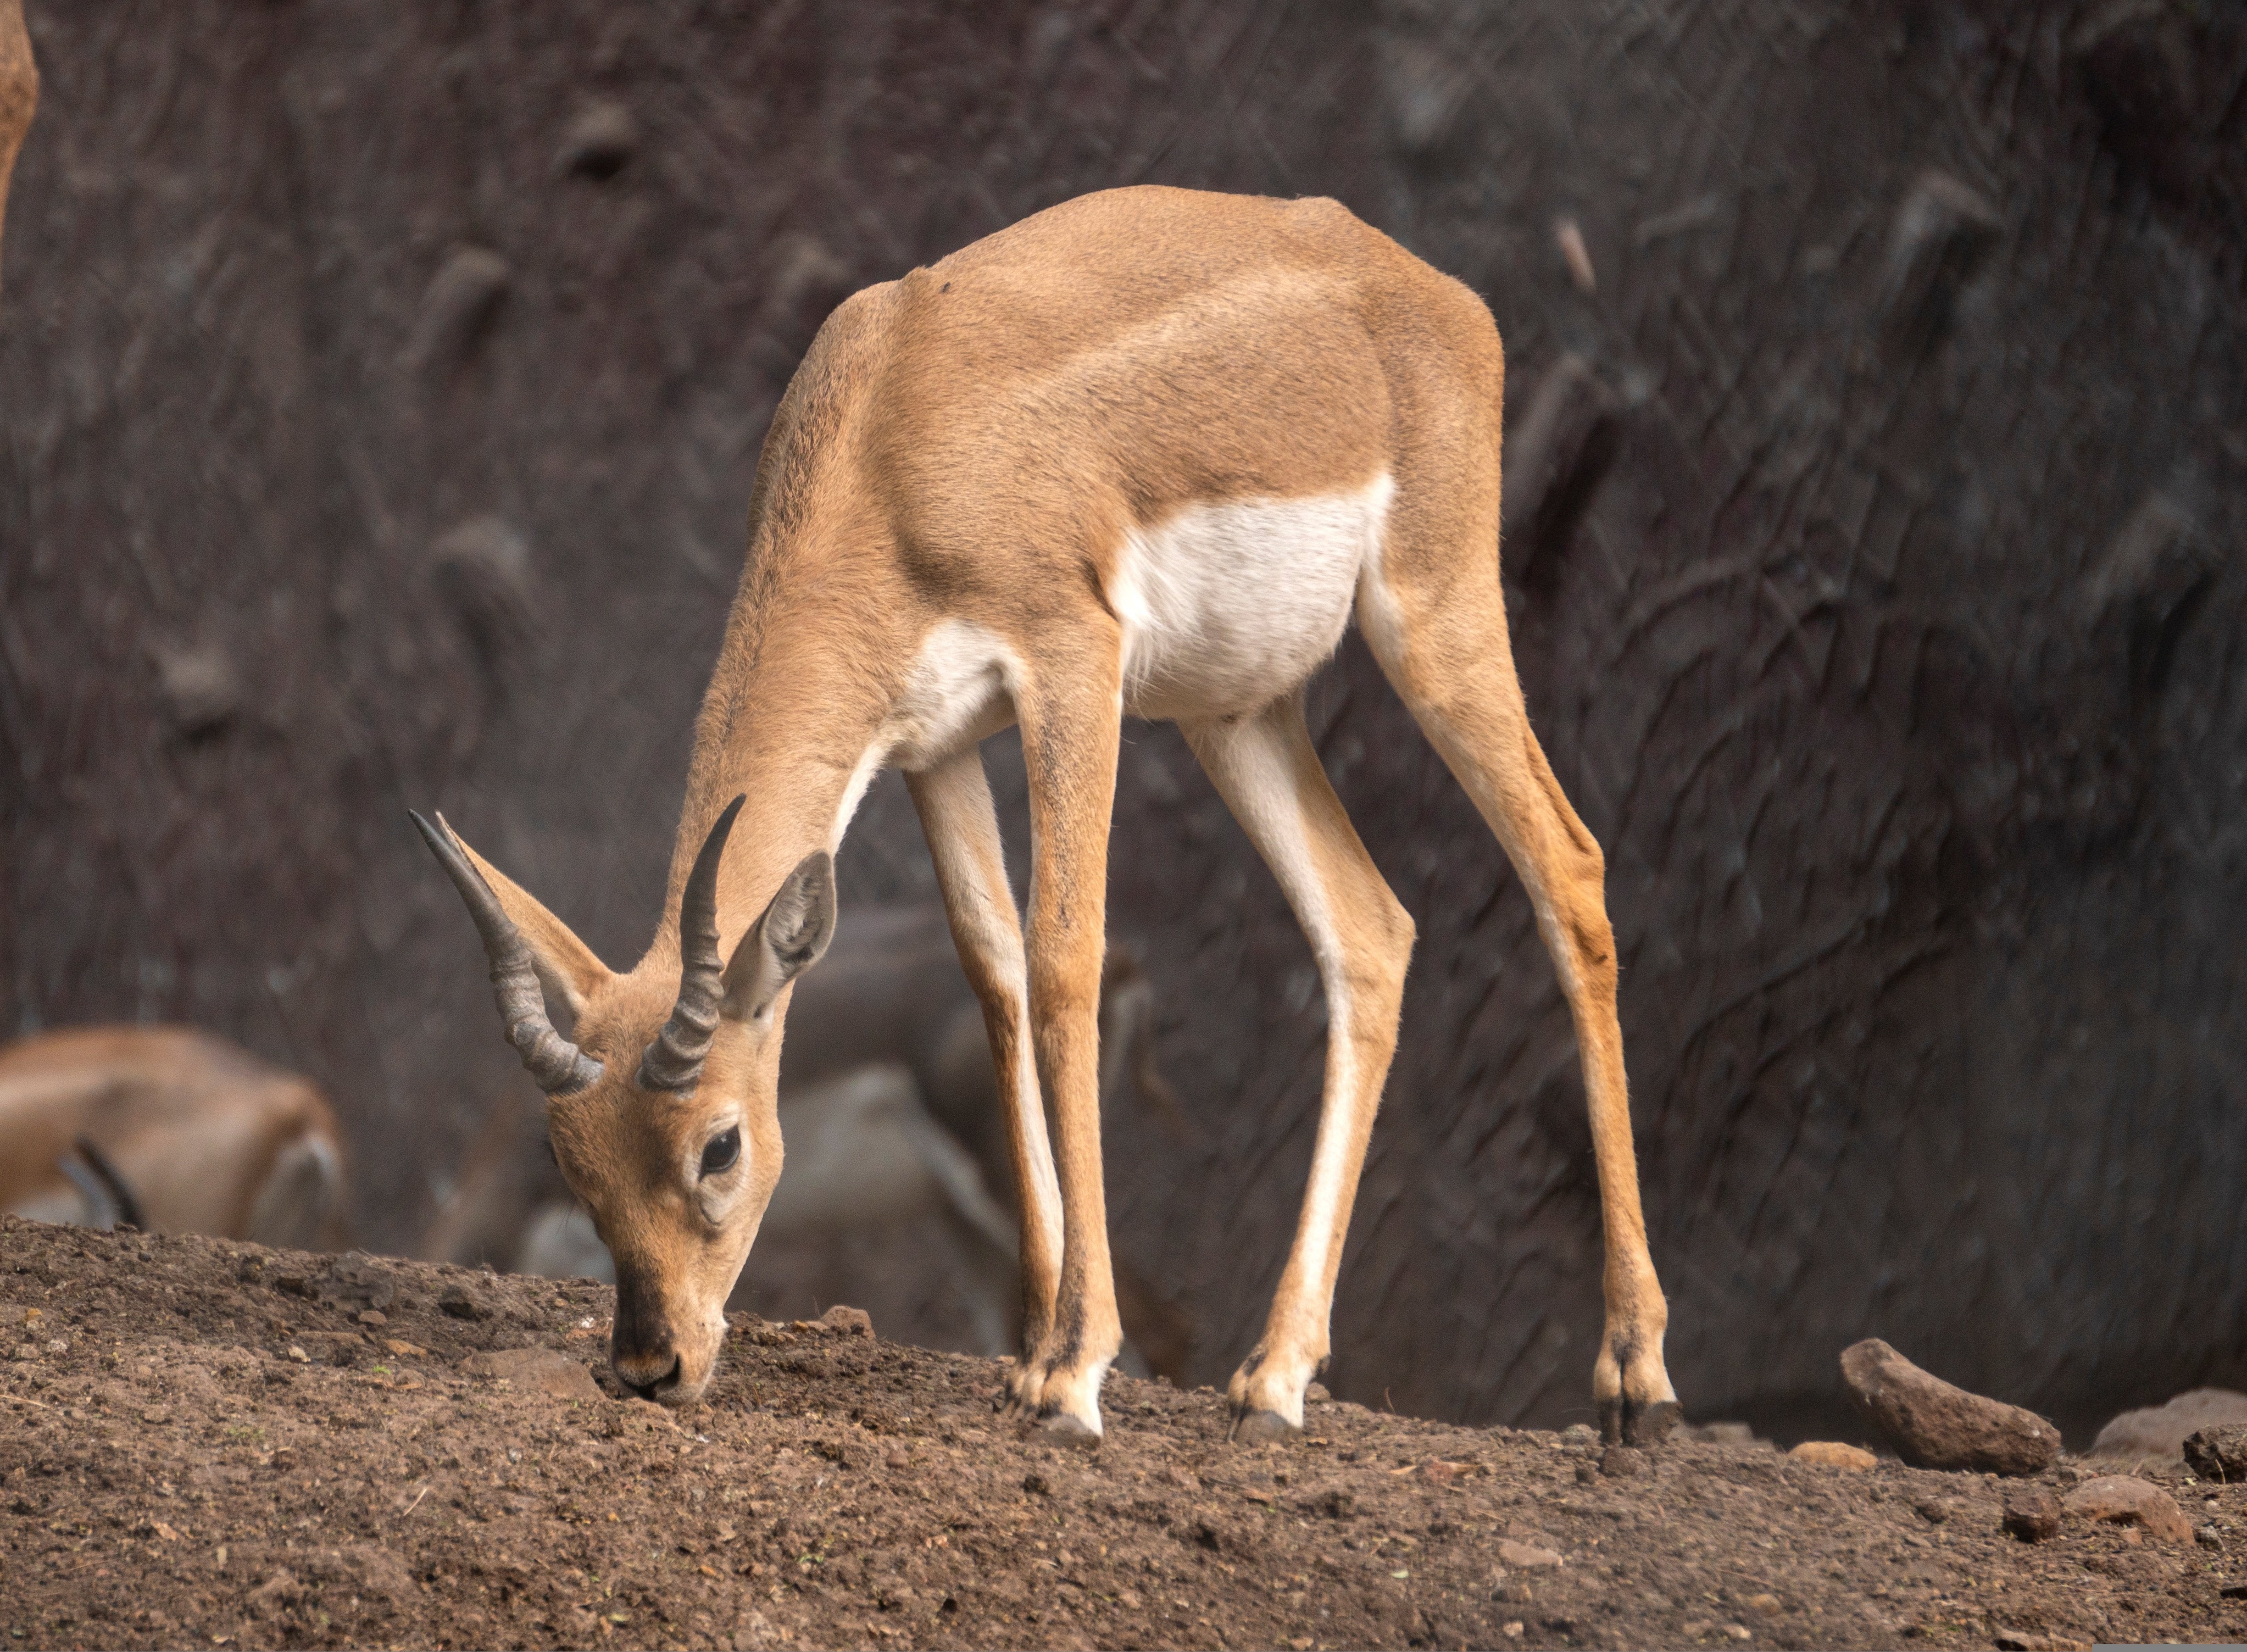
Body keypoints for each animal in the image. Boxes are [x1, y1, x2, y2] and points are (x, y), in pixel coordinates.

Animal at [422, 184, 1680, 1447]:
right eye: (573, 1163)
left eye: (717, 1144)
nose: (652, 1362)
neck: (890, 429)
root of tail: (1427, 287)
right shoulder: (934, 744)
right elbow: (995, 975)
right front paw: (1029, 1344)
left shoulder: (1070, 662)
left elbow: (1062, 957)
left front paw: (1073, 1369)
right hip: (1233, 712)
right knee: (1369, 931)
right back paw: (1273, 1377)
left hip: (1431, 623)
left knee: (1568, 869)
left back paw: (1634, 1376)